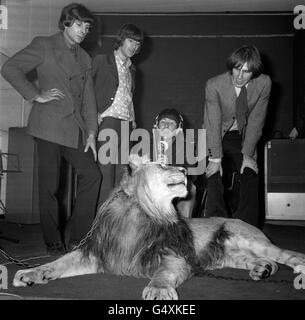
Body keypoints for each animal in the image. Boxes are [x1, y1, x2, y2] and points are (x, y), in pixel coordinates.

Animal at [13, 155, 304, 300]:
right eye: (163, 164)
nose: (185, 171)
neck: (139, 211)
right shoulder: (97, 252)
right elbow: (58, 263)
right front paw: (30, 274)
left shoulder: (173, 254)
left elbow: (163, 272)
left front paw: (159, 290)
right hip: (229, 256)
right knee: (268, 261)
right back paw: (262, 270)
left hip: (252, 240)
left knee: (290, 255)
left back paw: (297, 272)